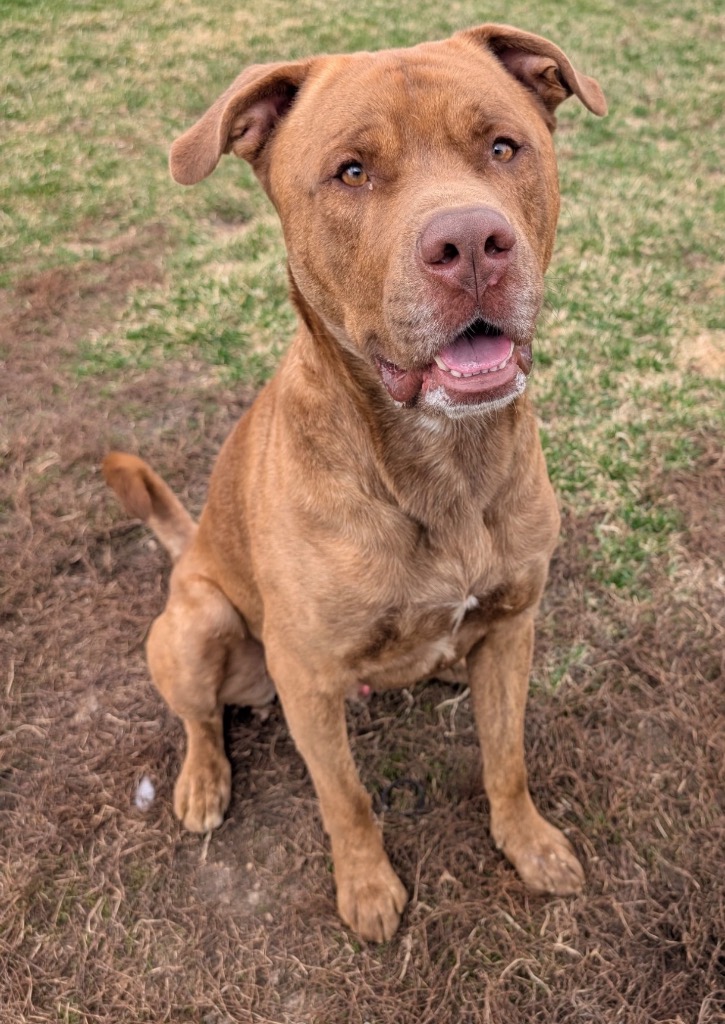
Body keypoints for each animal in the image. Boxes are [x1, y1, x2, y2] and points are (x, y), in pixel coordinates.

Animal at [103, 23, 606, 942]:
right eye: (351, 172)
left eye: (502, 147)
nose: (471, 245)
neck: (439, 463)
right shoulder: (306, 681)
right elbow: (345, 798)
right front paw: (367, 887)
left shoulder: (515, 627)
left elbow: (506, 758)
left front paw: (529, 845)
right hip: (196, 624)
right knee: (199, 717)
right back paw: (201, 781)